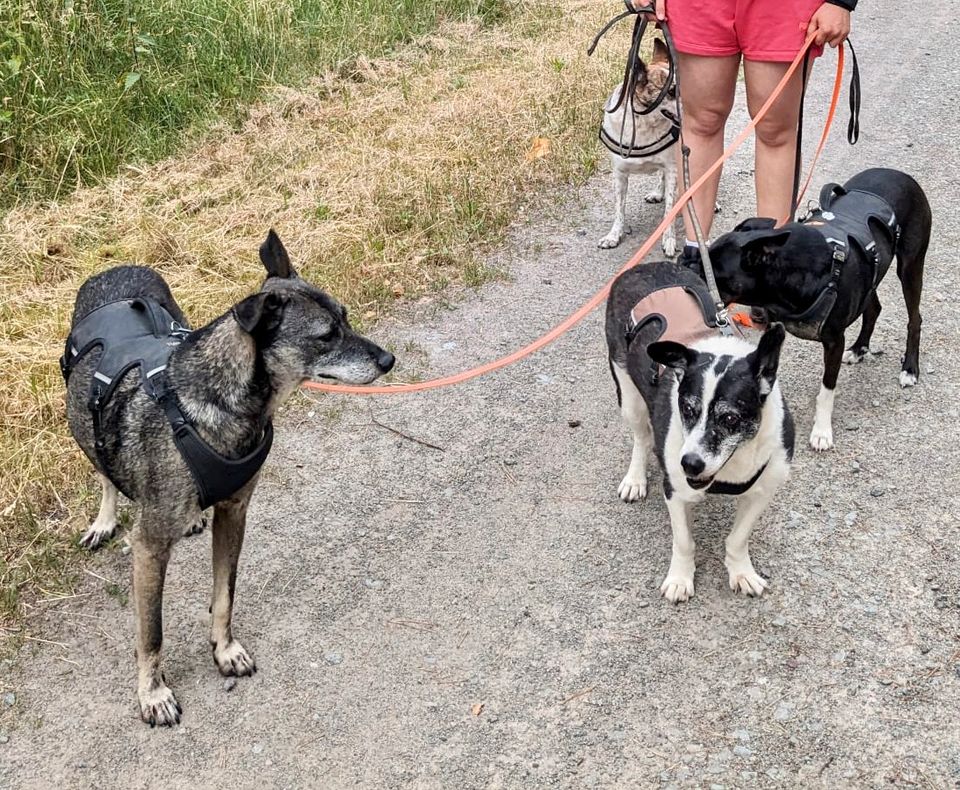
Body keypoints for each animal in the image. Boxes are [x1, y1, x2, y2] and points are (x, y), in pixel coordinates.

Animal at [608, 262, 796, 604]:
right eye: (687, 409)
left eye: (730, 418)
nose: (690, 464)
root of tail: (643, 266)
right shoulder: (675, 489)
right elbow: (684, 541)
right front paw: (680, 579)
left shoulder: (763, 490)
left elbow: (738, 538)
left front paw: (741, 571)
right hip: (628, 394)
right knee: (641, 436)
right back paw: (635, 479)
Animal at [704, 169, 928, 452]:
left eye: (716, 272)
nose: (683, 263)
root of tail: (900, 174)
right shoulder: (775, 330)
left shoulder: (834, 343)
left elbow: (827, 389)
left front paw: (822, 431)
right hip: (870, 280)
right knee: (874, 308)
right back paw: (860, 348)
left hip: (910, 267)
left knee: (915, 319)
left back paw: (909, 368)